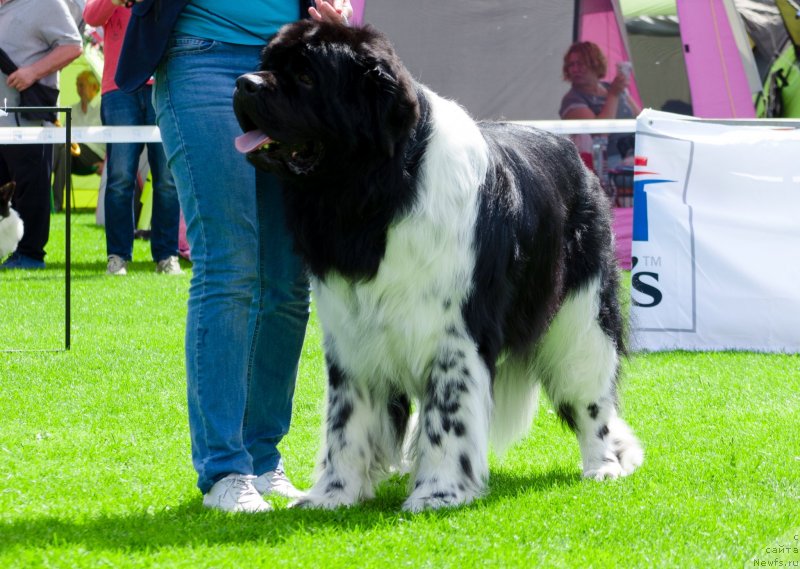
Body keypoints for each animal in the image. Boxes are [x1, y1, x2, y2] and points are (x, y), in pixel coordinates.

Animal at [233, 21, 644, 510]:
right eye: (267, 64)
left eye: (306, 76)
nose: (243, 84)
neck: (378, 191)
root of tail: (575, 155)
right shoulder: (351, 336)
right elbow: (346, 421)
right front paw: (333, 495)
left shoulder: (455, 336)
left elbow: (447, 418)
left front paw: (437, 494)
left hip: (581, 320)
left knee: (591, 397)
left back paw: (604, 465)